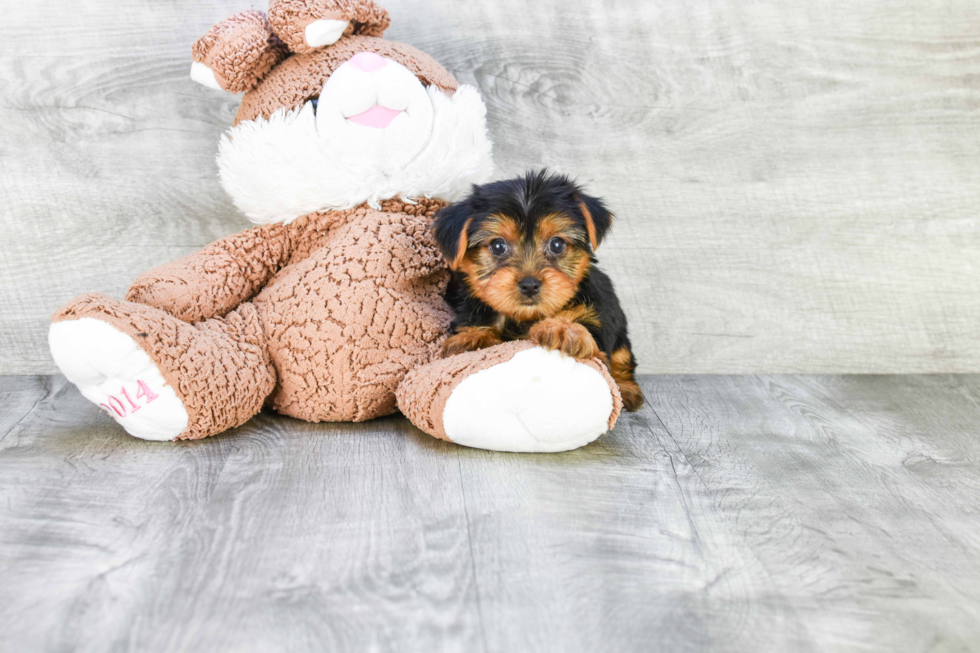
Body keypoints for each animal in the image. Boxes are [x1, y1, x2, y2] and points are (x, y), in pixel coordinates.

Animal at [432, 171, 648, 410]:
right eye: (498, 246)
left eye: (557, 244)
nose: (529, 284)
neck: (525, 319)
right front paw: (473, 337)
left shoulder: (597, 325)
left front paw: (562, 329)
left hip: (620, 334)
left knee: (623, 360)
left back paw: (626, 389)